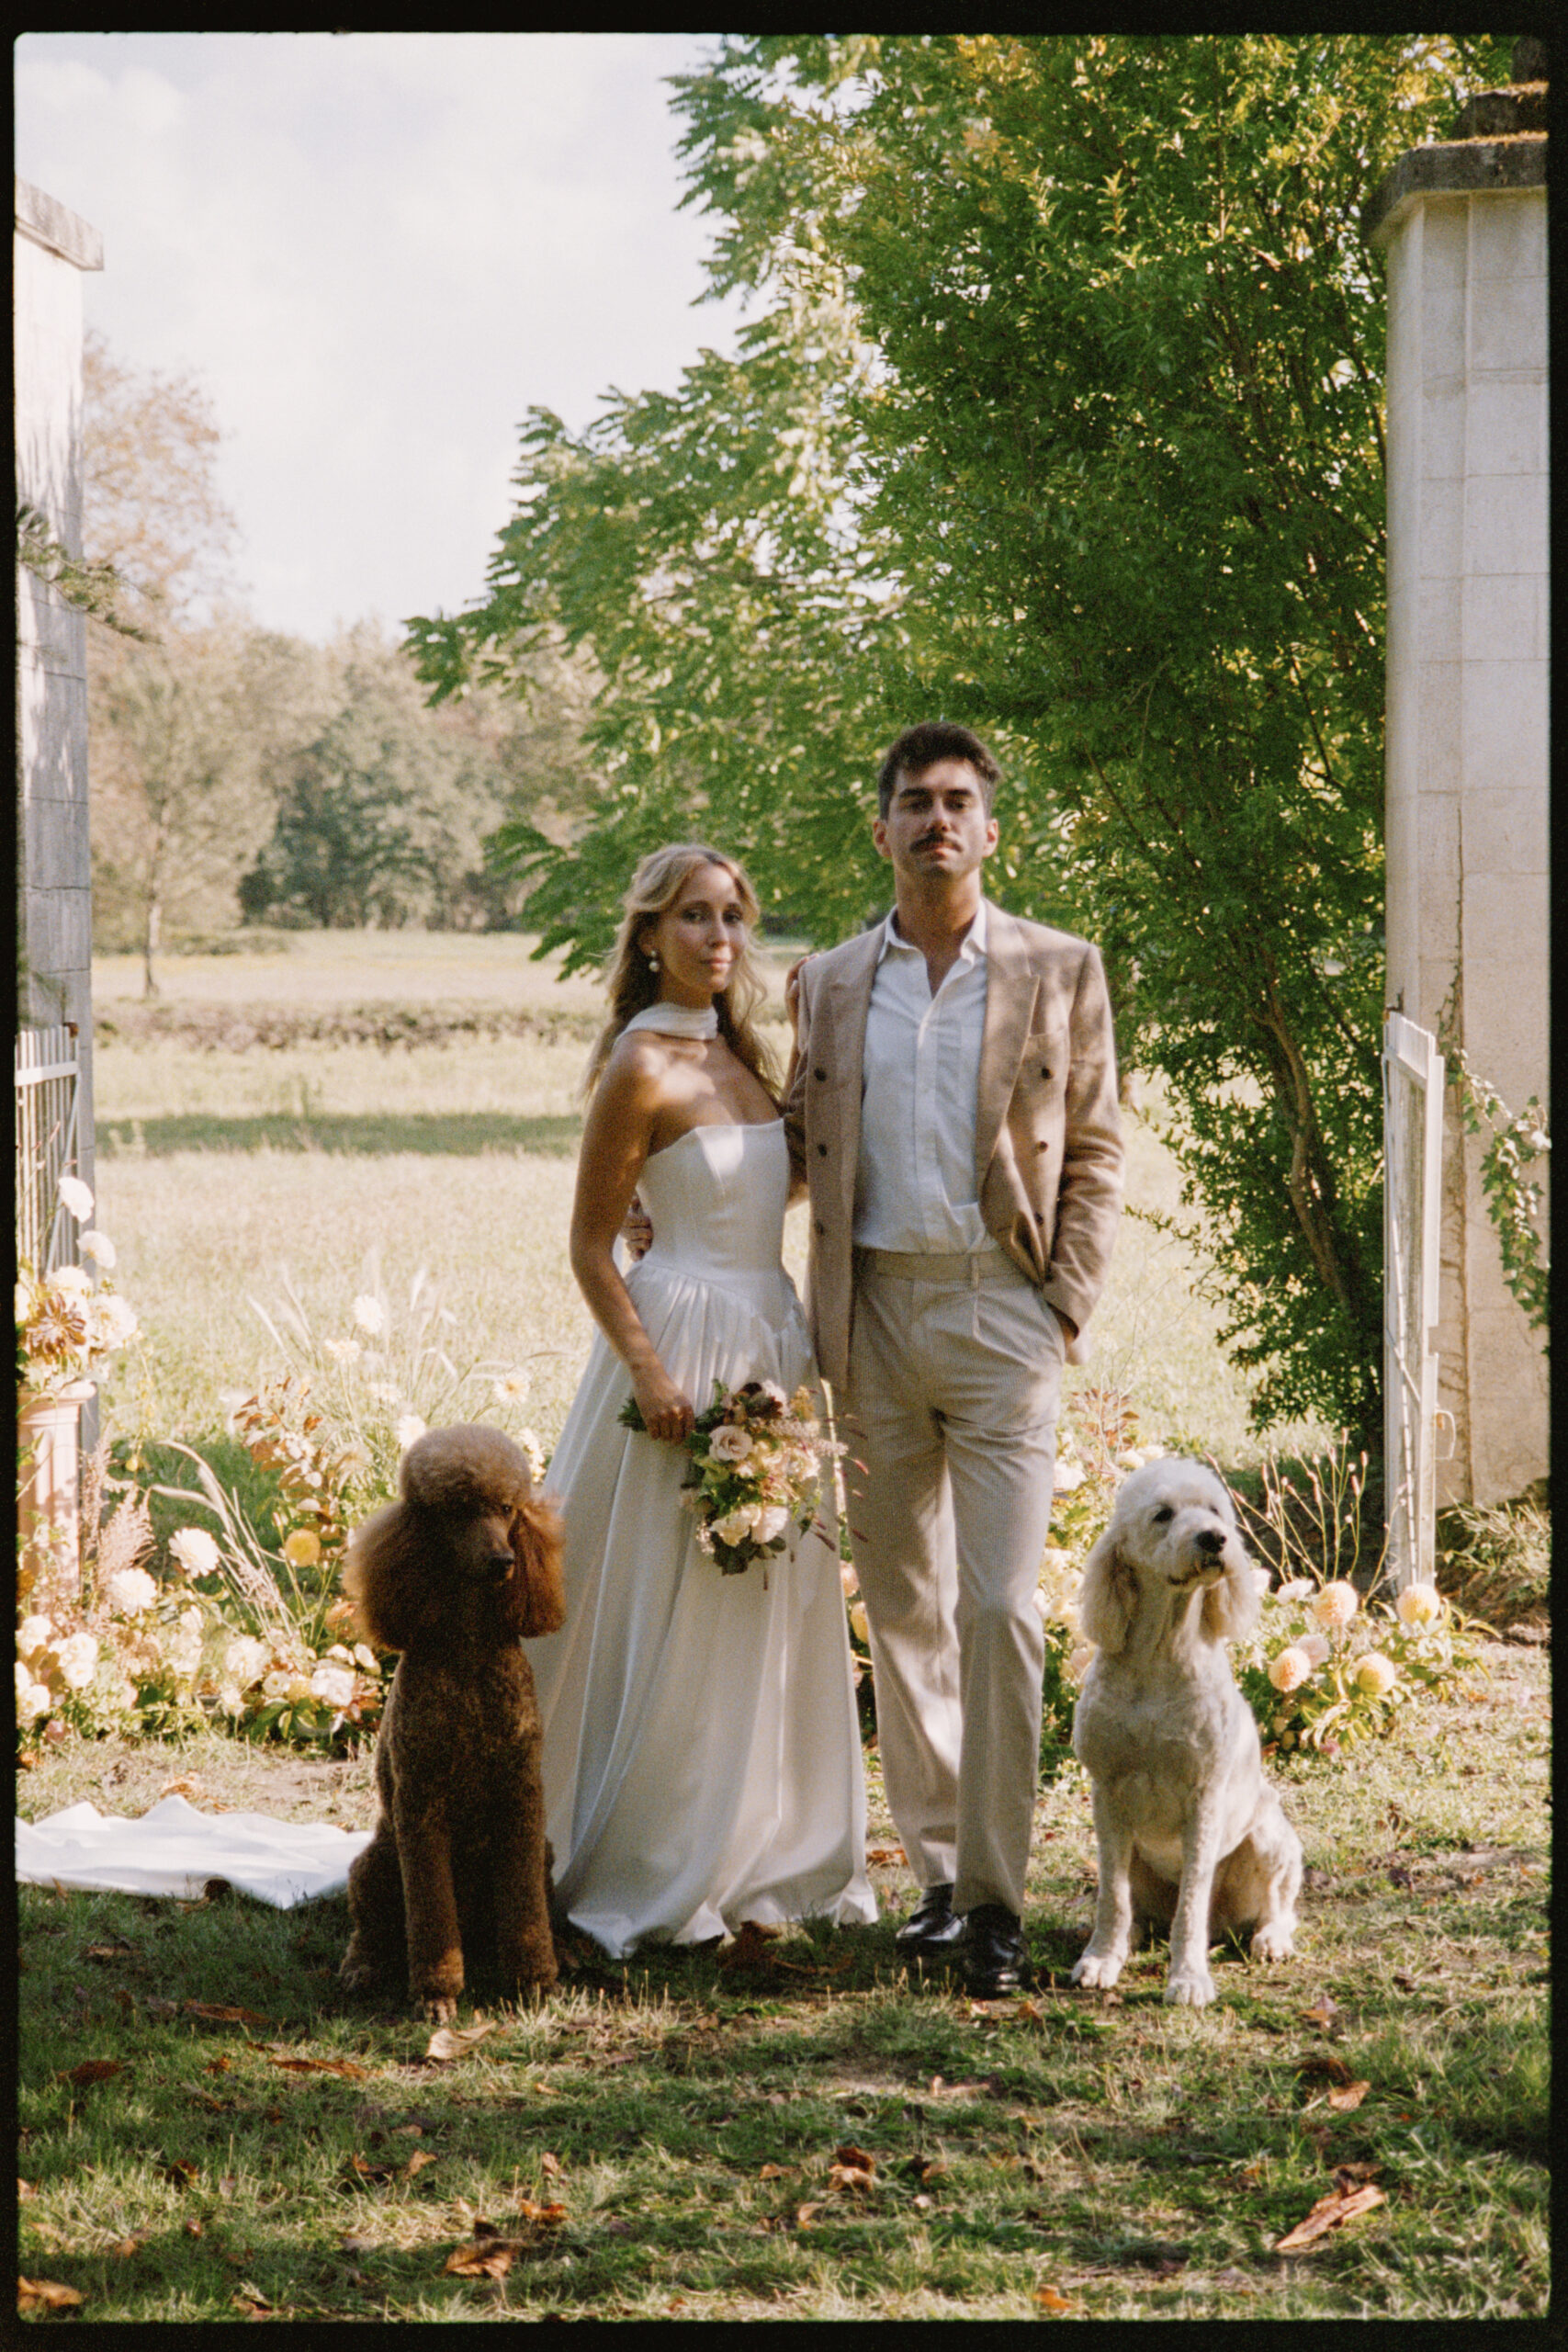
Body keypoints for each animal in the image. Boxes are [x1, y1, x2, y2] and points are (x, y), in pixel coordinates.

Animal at [338, 1424, 566, 2020]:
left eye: (507, 1509)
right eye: (458, 1511)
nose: (503, 1561)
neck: (468, 1651)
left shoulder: (521, 1797)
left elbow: (528, 1914)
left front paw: (535, 1981)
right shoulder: (422, 1807)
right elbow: (431, 1917)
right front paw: (436, 1995)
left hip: (543, 1852)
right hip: (377, 1863)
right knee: (371, 1928)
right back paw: (362, 1968)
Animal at [1069, 1457, 1302, 2007]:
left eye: (1214, 1510)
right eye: (1163, 1514)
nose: (1215, 1539)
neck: (1161, 1655)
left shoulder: (1203, 1798)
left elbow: (1191, 1905)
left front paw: (1189, 1977)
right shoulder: (1107, 1794)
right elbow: (1113, 1897)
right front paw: (1101, 1958)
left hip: (1270, 1838)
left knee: (1279, 1906)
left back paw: (1271, 1939)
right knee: (1132, 1905)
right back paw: (1128, 1939)